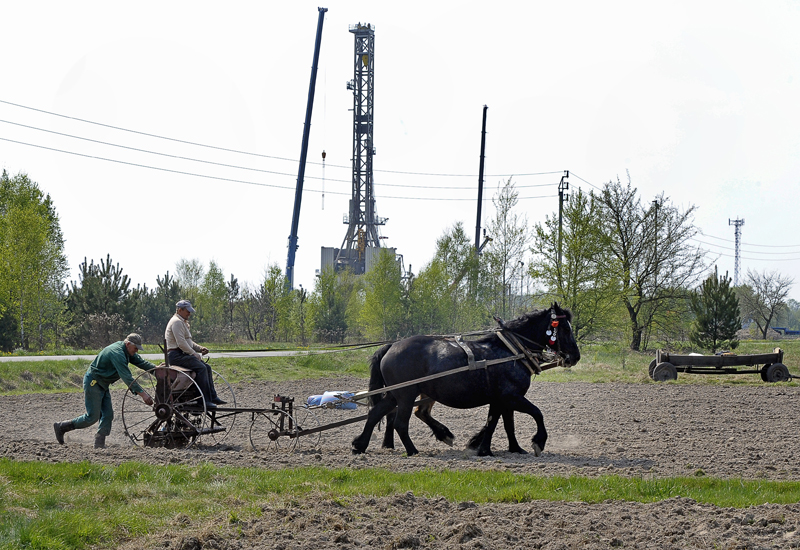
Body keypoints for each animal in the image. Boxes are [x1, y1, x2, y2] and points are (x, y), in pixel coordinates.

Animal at [354, 306, 580, 458]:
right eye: (565, 329)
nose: (575, 356)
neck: (511, 352)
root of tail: (392, 346)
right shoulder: (511, 397)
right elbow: (536, 413)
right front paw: (537, 442)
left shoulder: (502, 400)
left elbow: (501, 424)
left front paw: (509, 448)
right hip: (406, 395)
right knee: (400, 422)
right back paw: (413, 450)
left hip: (396, 394)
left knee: (376, 414)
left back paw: (360, 445)